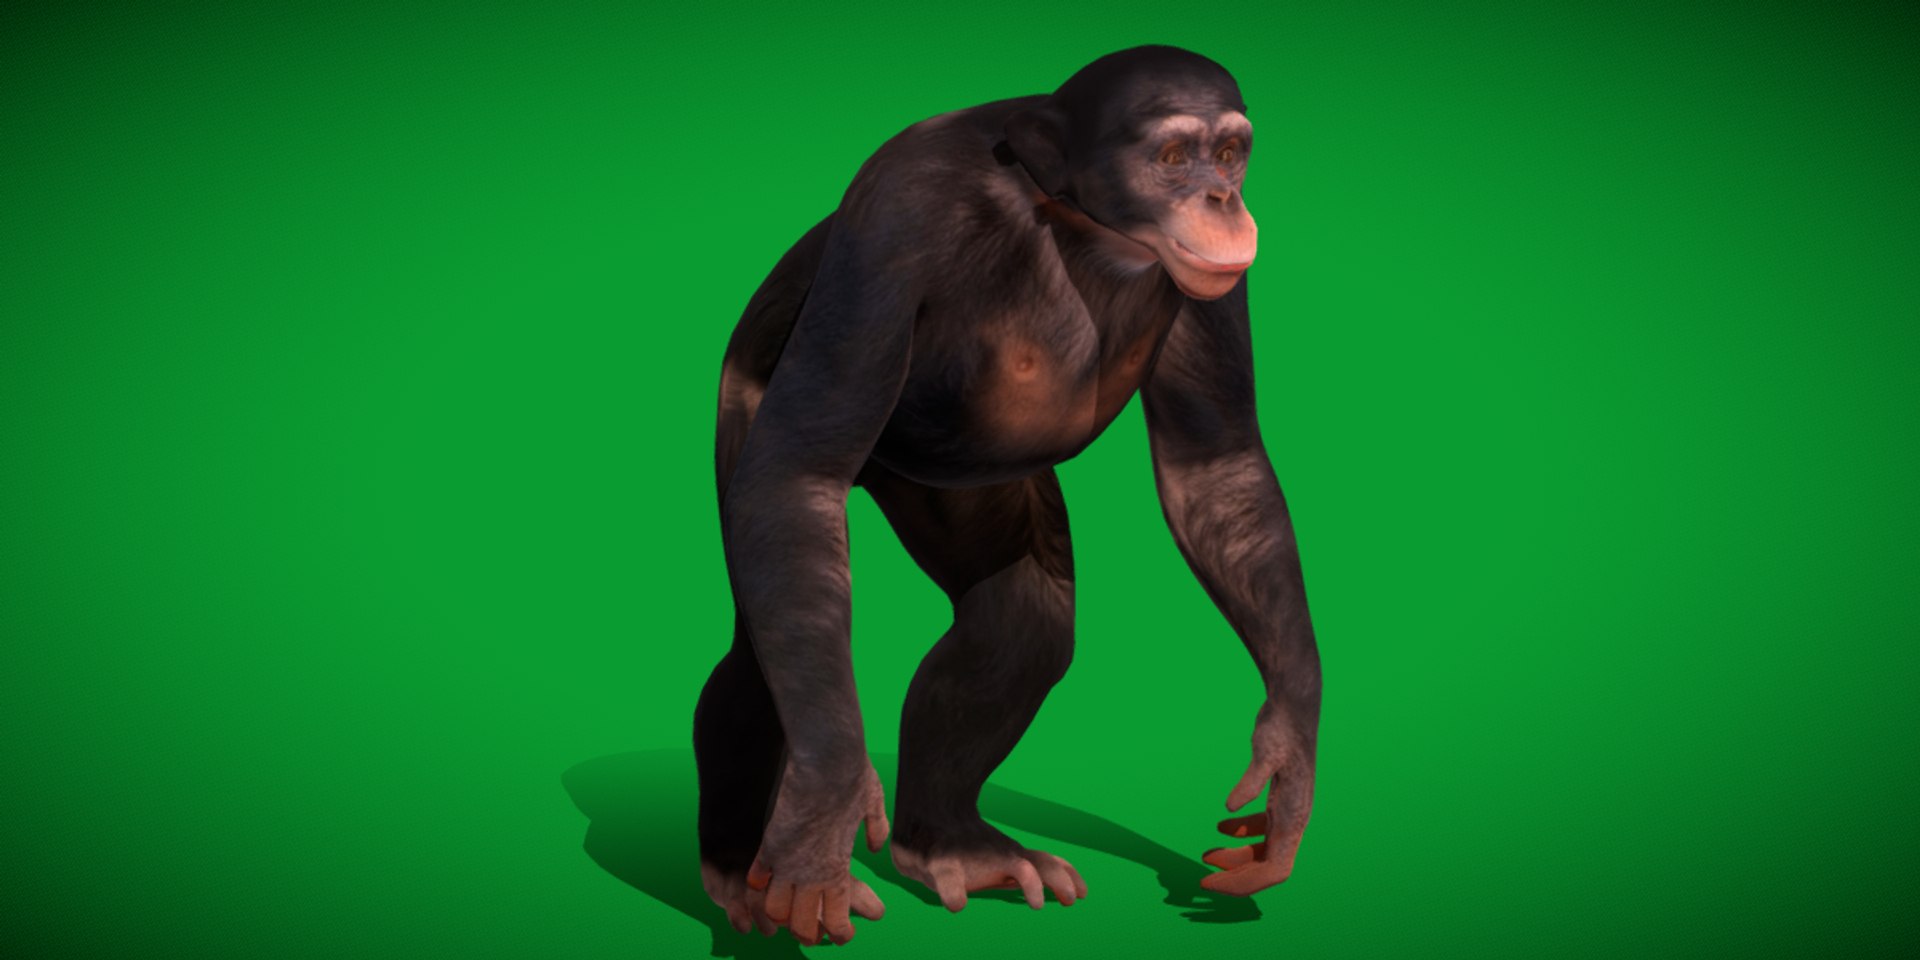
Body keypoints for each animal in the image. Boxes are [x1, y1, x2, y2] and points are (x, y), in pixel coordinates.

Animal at [692, 46, 1322, 945]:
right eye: (1173, 157)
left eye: (1232, 153)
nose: (1222, 199)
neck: (1077, 223)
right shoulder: (901, 205)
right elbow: (799, 470)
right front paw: (823, 817)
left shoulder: (1216, 279)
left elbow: (1217, 464)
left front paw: (1288, 759)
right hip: (747, 386)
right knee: (770, 638)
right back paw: (735, 867)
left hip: (962, 490)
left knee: (1020, 620)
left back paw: (951, 845)